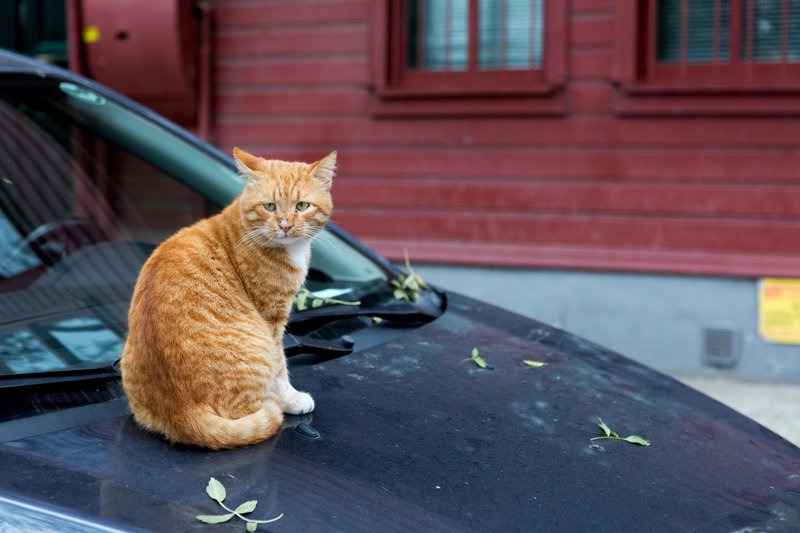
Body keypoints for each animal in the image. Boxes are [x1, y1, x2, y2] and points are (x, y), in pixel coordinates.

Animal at [120, 147, 336, 448]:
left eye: (302, 206)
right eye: (270, 206)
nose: (285, 225)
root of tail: (183, 413)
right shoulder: (272, 319)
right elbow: (280, 366)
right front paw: (291, 399)